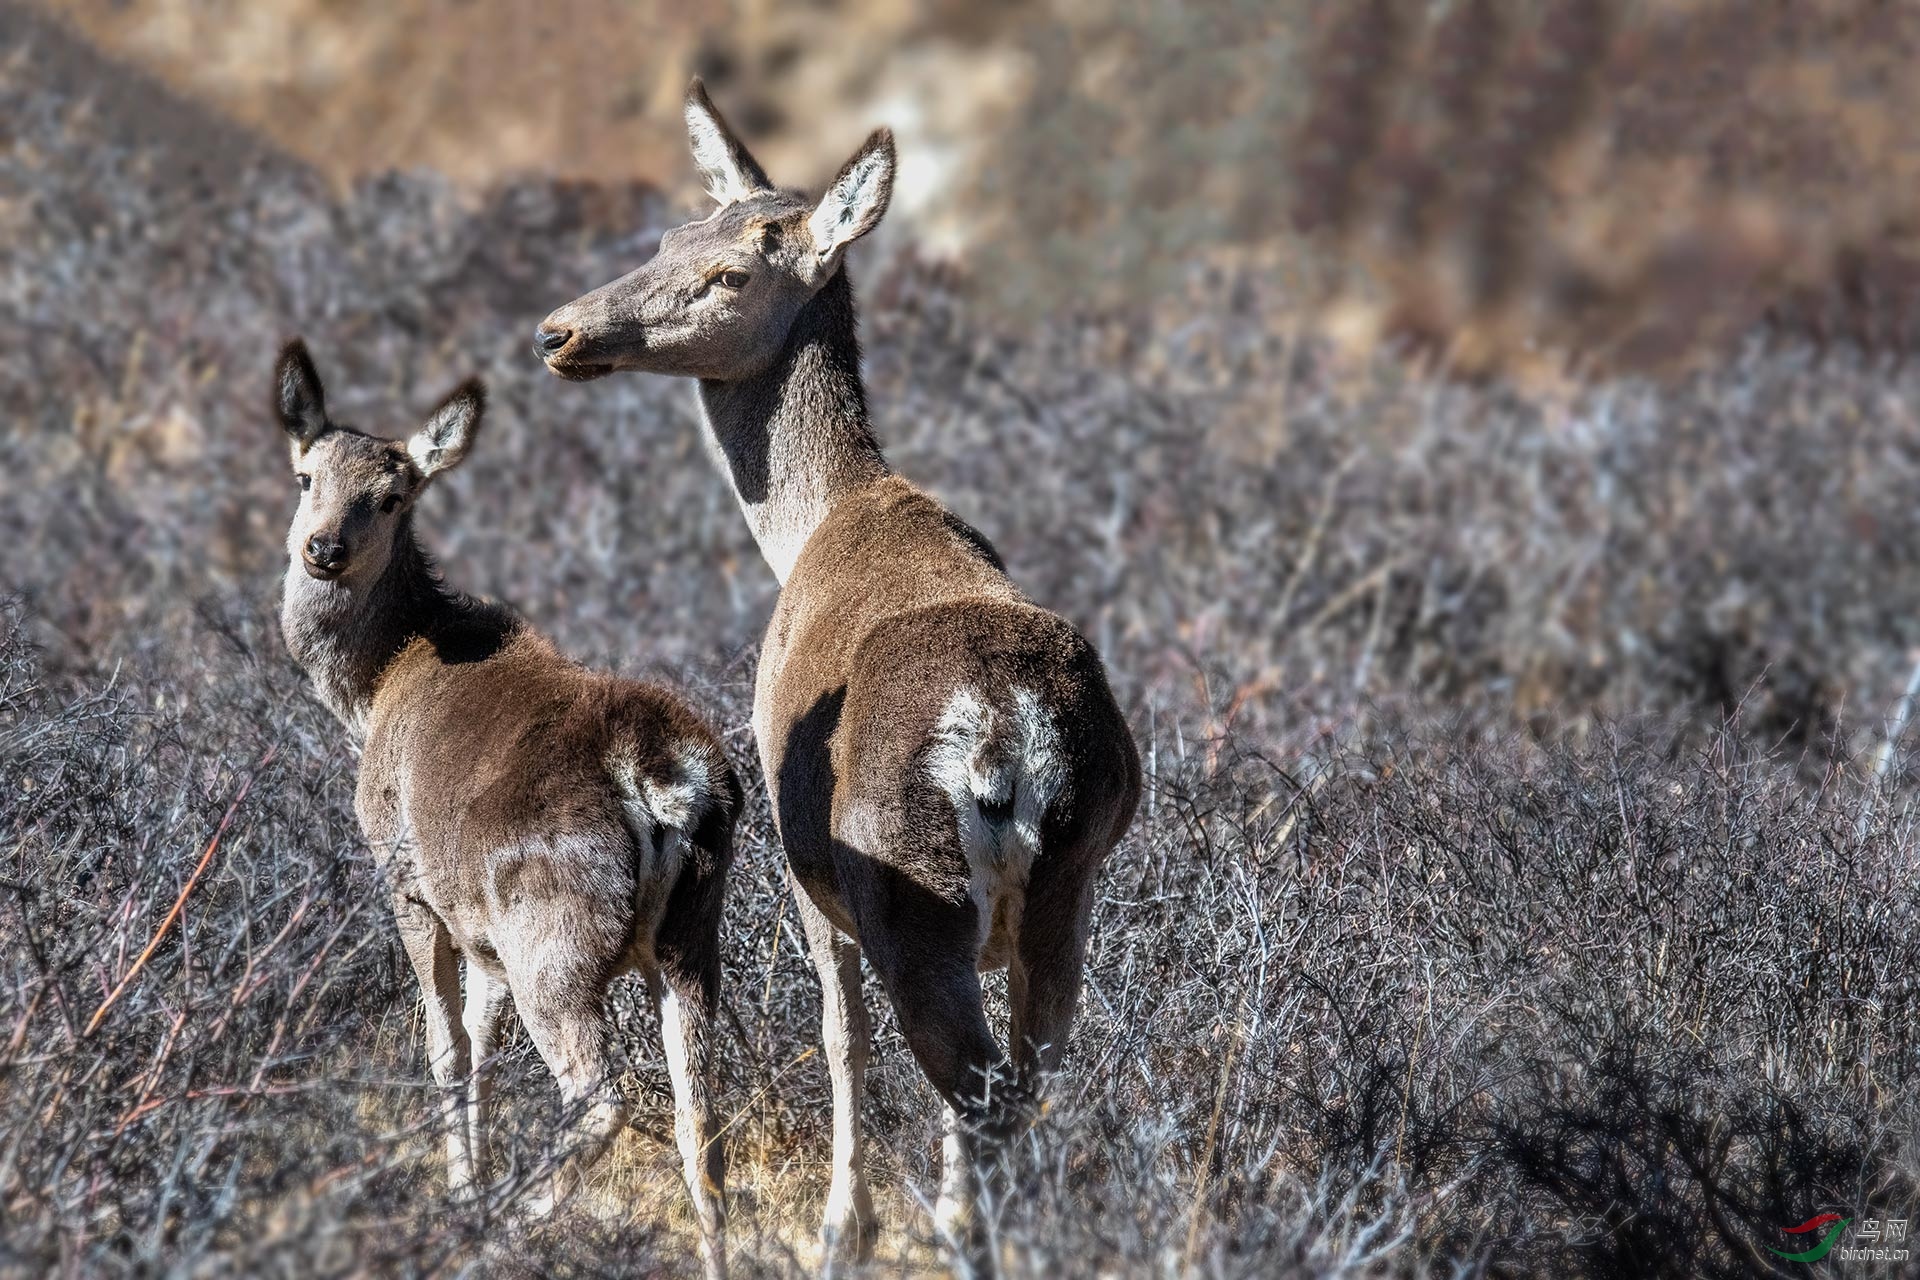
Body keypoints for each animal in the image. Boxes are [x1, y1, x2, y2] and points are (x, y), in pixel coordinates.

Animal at [274, 339, 737, 1280]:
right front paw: (473, 1179)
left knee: (602, 1096)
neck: (368, 691)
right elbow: (485, 1049)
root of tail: (662, 780)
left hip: (552, 933)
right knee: (699, 1114)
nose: (323, 548)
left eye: (392, 496)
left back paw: (510, 1228)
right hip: (691, 933)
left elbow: (447, 1047)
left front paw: (464, 1194)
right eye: (305, 475)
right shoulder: (479, 928)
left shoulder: (408, 877)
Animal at [533, 82, 1136, 1258]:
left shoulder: (805, 859)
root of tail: (1011, 740)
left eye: (733, 272)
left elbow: (839, 1035)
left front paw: (839, 1230)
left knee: (975, 1086)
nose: (560, 331)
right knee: (1026, 1081)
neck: (817, 524)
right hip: (1068, 888)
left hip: (909, 887)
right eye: (674, 235)